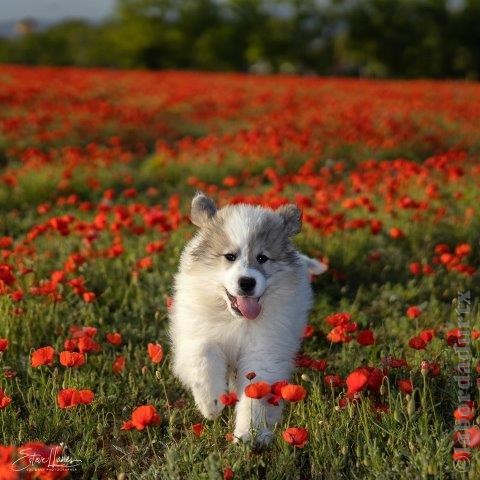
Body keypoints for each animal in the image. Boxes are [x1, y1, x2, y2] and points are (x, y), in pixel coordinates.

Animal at [170, 193, 326, 444]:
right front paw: (211, 403)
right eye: (230, 256)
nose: (247, 282)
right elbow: (204, 354)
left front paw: (249, 434)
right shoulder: (197, 333)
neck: (237, 320)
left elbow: (255, 394)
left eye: (262, 258)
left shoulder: (264, 353)